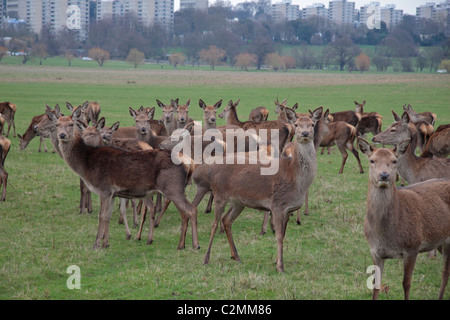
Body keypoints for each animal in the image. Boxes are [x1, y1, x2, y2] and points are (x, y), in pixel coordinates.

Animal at [46, 107, 200, 250]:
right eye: (57, 124)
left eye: (71, 124)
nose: (62, 135)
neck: (86, 165)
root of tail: (188, 163)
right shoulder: (113, 193)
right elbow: (108, 216)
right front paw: (106, 243)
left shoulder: (104, 189)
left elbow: (102, 216)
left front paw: (96, 244)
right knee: (184, 211)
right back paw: (180, 244)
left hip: (172, 187)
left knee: (191, 209)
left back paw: (195, 244)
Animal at [204, 112, 320, 272]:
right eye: (296, 124)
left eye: (312, 124)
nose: (305, 133)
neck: (295, 178)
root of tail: (211, 170)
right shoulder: (277, 205)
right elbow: (279, 236)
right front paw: (280, 266)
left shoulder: (289, 209)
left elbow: (284, 235)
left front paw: (278, 261)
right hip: (219, 194)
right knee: (214, 224)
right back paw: (206, 258)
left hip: (238, 202)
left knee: (226, 220)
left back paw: (236, 256)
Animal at [356, 138, 448, 300]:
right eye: (372, 160)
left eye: (394, 160)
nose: (384, 175)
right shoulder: (375, 251)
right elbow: (375, 285)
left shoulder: (412, 246)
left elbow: (406, 283)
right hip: (440, 242)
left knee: (445, 272)